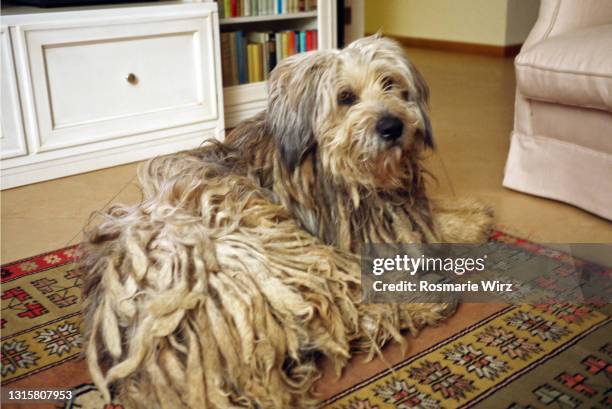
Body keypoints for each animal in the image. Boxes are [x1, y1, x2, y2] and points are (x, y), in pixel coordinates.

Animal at [81, 35, 492, 408]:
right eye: (346, 97)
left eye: (391, 84)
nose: (392, 126)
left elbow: (435, 222)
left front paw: (474, 216)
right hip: (271, 250)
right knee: (348, 309)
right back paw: (421, 305)